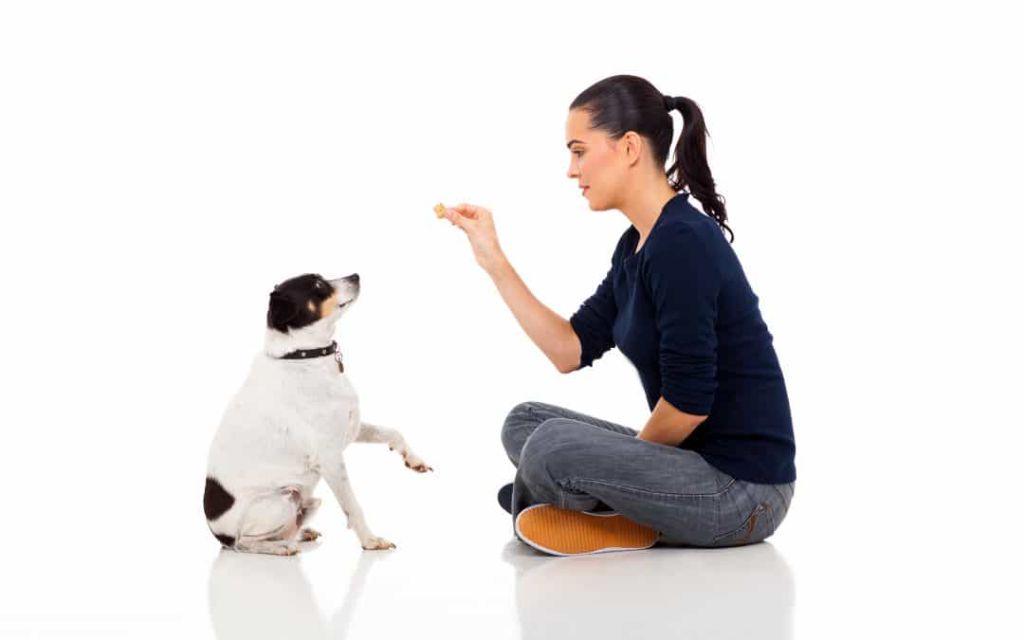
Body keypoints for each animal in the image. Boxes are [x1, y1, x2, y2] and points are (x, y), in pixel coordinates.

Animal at [203, 270, 432, 552]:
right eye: (318, 286)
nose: (356, 275)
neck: (303, 356)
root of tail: (218, 534)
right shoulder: (330, 458)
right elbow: (352, 505)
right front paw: (370, 540)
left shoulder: (350, 429)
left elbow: (392, 432)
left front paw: (414, 460)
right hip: (283, 499)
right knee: (244, 543)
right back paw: (281, 548)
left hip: (308, 501)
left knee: (284, 529)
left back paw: (300, 534)